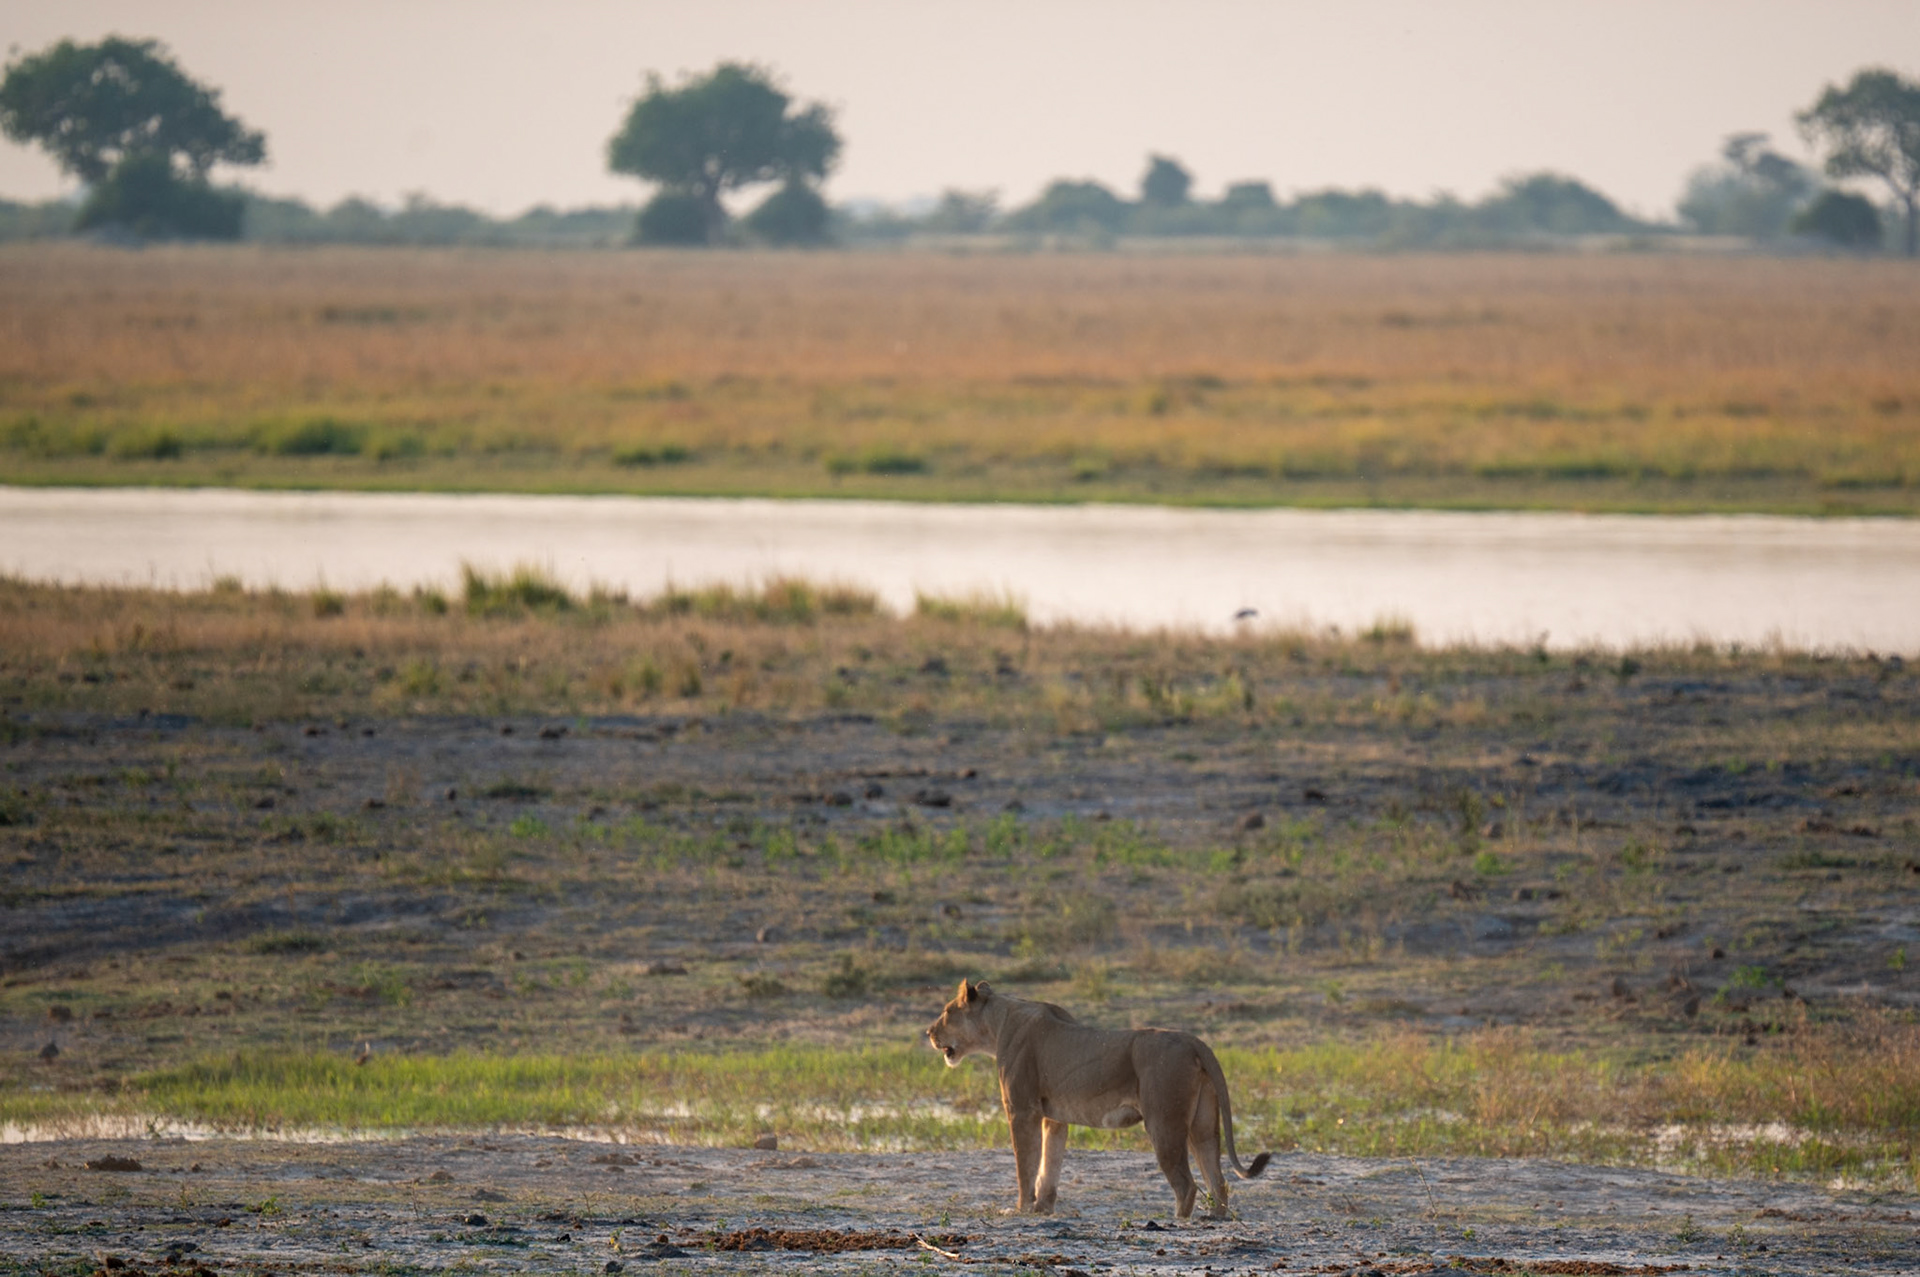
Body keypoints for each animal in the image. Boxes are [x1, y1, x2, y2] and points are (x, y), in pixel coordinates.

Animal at [925, 979, 1270, 1218]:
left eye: (946, 1012)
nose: (928, 1032)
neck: (997, 1024)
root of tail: (1194, 1040)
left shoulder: (1022, 1110)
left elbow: (1026, 1165)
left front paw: (1020, 1209)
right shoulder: (1053, 1117)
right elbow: (1049, 1165)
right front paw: (1042, 1209)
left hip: (1164, 1121)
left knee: (1187, 1185)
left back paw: (1174, 1221)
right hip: (1202, 1123)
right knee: (1218, 1179)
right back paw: (1214, 1218)